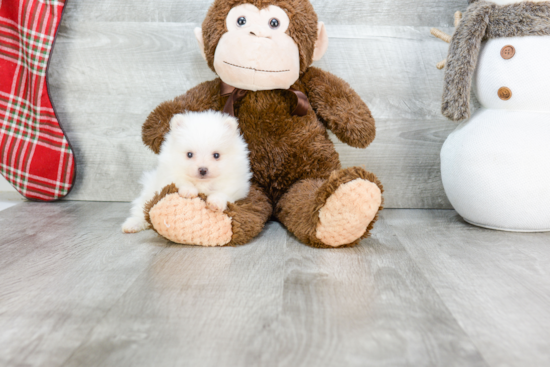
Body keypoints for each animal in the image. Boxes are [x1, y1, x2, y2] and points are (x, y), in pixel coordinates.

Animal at [122, 110, 252, 234]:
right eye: (189, 154)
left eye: (216, 155)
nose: (203, 170)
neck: (202, 183)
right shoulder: (169, 174)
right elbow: (182, 180)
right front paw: (189, 191)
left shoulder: (235, 183)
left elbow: (222, 192)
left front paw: (215, 202)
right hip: (149, 193)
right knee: (141, 210)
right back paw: (131, 225)